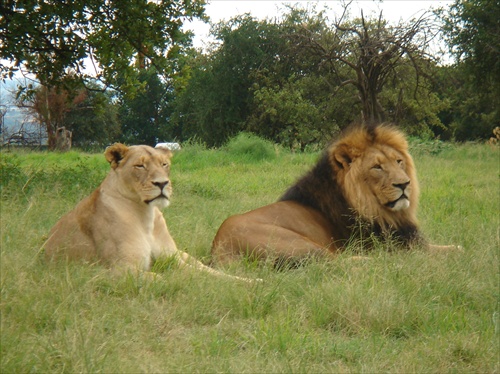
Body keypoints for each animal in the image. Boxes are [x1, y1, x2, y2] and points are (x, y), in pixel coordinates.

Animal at [44, 144, 258, 284]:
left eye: (164, 164)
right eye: (140, 166)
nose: (162, 183)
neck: (145, 214)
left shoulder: (172, 258)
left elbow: (210, 274)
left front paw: (252, 282)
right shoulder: (119, 271)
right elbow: (173, 279)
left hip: (182, 253)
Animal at [211, 121, 458, 264]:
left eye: (399, 161)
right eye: (377, 167)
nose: (404, 184)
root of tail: (219, 248)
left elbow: (455, 247)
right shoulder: (400, 246)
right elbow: (450, 250)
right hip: (299, 245)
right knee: (336, 263)